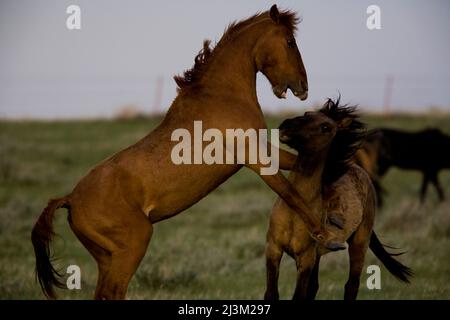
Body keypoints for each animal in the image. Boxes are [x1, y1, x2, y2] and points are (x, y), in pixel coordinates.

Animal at [31, 5, 342, 300]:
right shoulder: (252, 156)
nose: (302, 87)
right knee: (114, 292)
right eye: (290, 41)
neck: (222, 96)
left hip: (107, 257)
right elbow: (291, 193)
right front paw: (326, 236)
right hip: (132, 246)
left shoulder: (262, 148)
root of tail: (70, 199)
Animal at [266, 99, 414, 300]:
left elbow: (299, 296)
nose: (287, 125)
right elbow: (272, 294)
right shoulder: (273, 250)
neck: (297, 210)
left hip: (358, 244)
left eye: (326, 127)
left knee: (351, 285)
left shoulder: (305, 259)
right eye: (306, 114)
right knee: (315, 286)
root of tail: (360, 171)